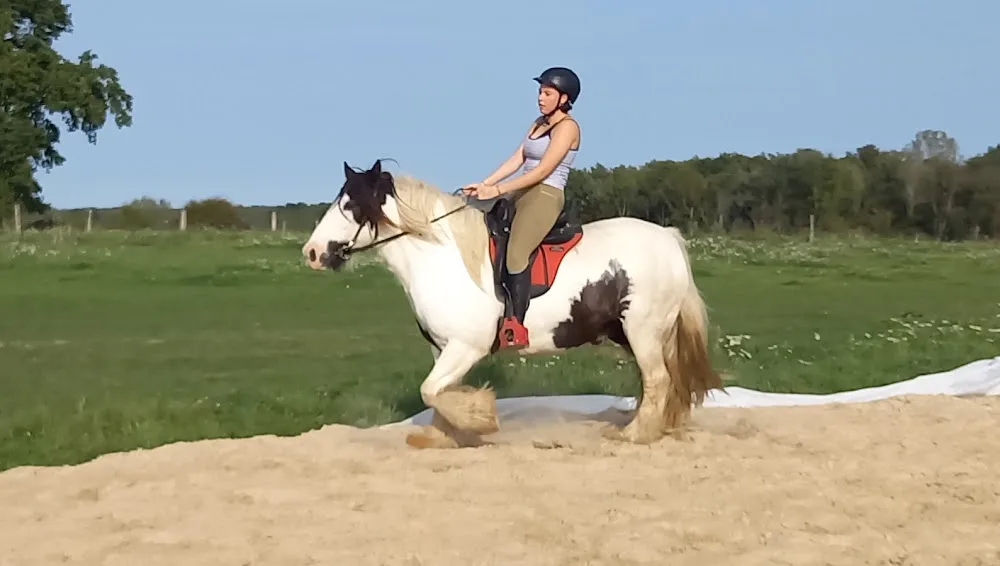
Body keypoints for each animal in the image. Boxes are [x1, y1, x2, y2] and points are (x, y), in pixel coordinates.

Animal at [301, 159, 723, 449]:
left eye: (351, 206)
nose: (312, 253)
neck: (443, 258)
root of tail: (668, 237)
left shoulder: (465, 347)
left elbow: (430, 391)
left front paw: (481, 419)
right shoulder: (443, 349)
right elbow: (437, 393)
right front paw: (443, 436)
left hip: (643, 330)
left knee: (657, 380)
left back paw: (635, 434)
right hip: (637, 333)